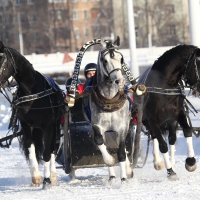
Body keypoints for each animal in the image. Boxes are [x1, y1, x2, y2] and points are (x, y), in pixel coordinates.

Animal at [0, 41, 64, 188]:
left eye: (2, 60)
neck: (32, 92)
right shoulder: (26, 125)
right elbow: (31, 149)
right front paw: (36, 178)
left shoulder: (48, 126)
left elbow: (47, 153)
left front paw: (47, 180)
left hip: (56, 127)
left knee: (53, 149)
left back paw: (52, 177)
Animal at [134, 45, 200, 180]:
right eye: (199, 63)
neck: (164, 85)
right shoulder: (152, 120)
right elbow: (162, 145)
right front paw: (170, 172)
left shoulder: (178, 114)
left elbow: (187, 131)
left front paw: (190, 162)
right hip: (147, 121)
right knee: (154, 136)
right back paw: (158, 162)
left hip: (170, 122)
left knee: (171, 139)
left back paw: (171, 161)